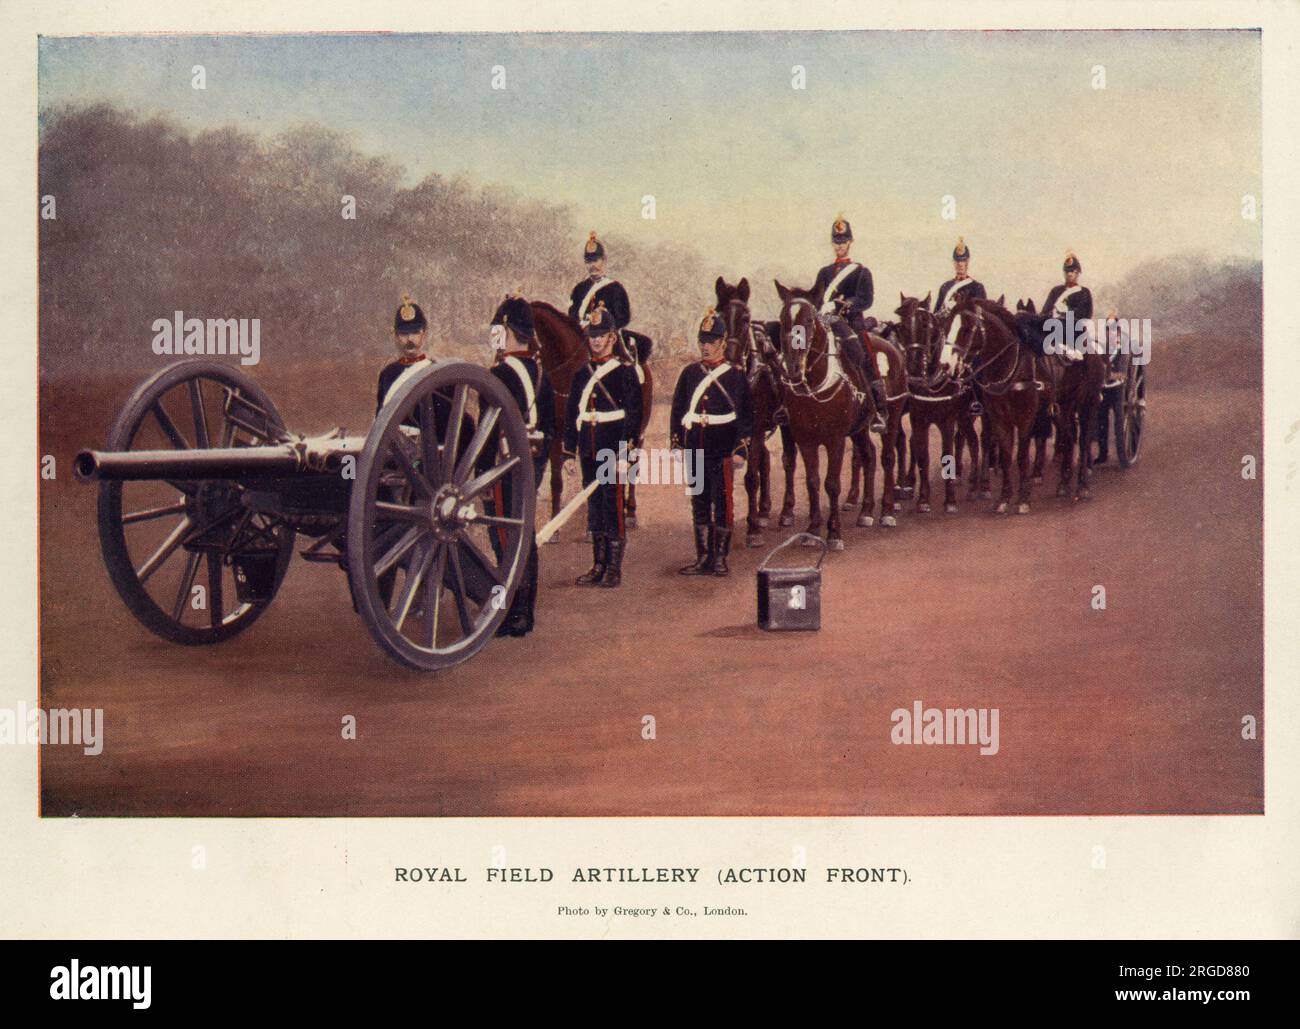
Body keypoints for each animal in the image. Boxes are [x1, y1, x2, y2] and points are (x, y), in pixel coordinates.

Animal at [712, 272, 800, 545]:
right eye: (718, 316)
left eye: (745, 318)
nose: (729, 356)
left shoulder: (758, 425)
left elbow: (751, 477)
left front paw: (752, 531)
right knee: (766, 460)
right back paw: (763, 510)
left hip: (784, 423)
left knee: (788, 459)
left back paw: (786, 511)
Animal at [774, 272, 878, 545]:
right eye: (782, 319)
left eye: (809, 319)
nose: (792, 368)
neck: (814, 385)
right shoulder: (805, 440)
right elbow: (812, 481)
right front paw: (812, 530)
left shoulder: (835, 440)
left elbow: (831, 483)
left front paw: (834, 532)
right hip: (858, 430)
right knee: (868, 454)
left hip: (862, 427)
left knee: (871, 456)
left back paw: (868, 512)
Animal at [894, 293, 982, 509]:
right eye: (903, 326)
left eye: (926, 325)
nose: (914, 365)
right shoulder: (918, 420)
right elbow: (923, 456)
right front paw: (923, 499)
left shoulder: (947, 420)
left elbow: (946, 455)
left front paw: (950, 499)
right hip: (963, 417)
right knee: (971, 440)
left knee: (975, 442)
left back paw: (978, 485)